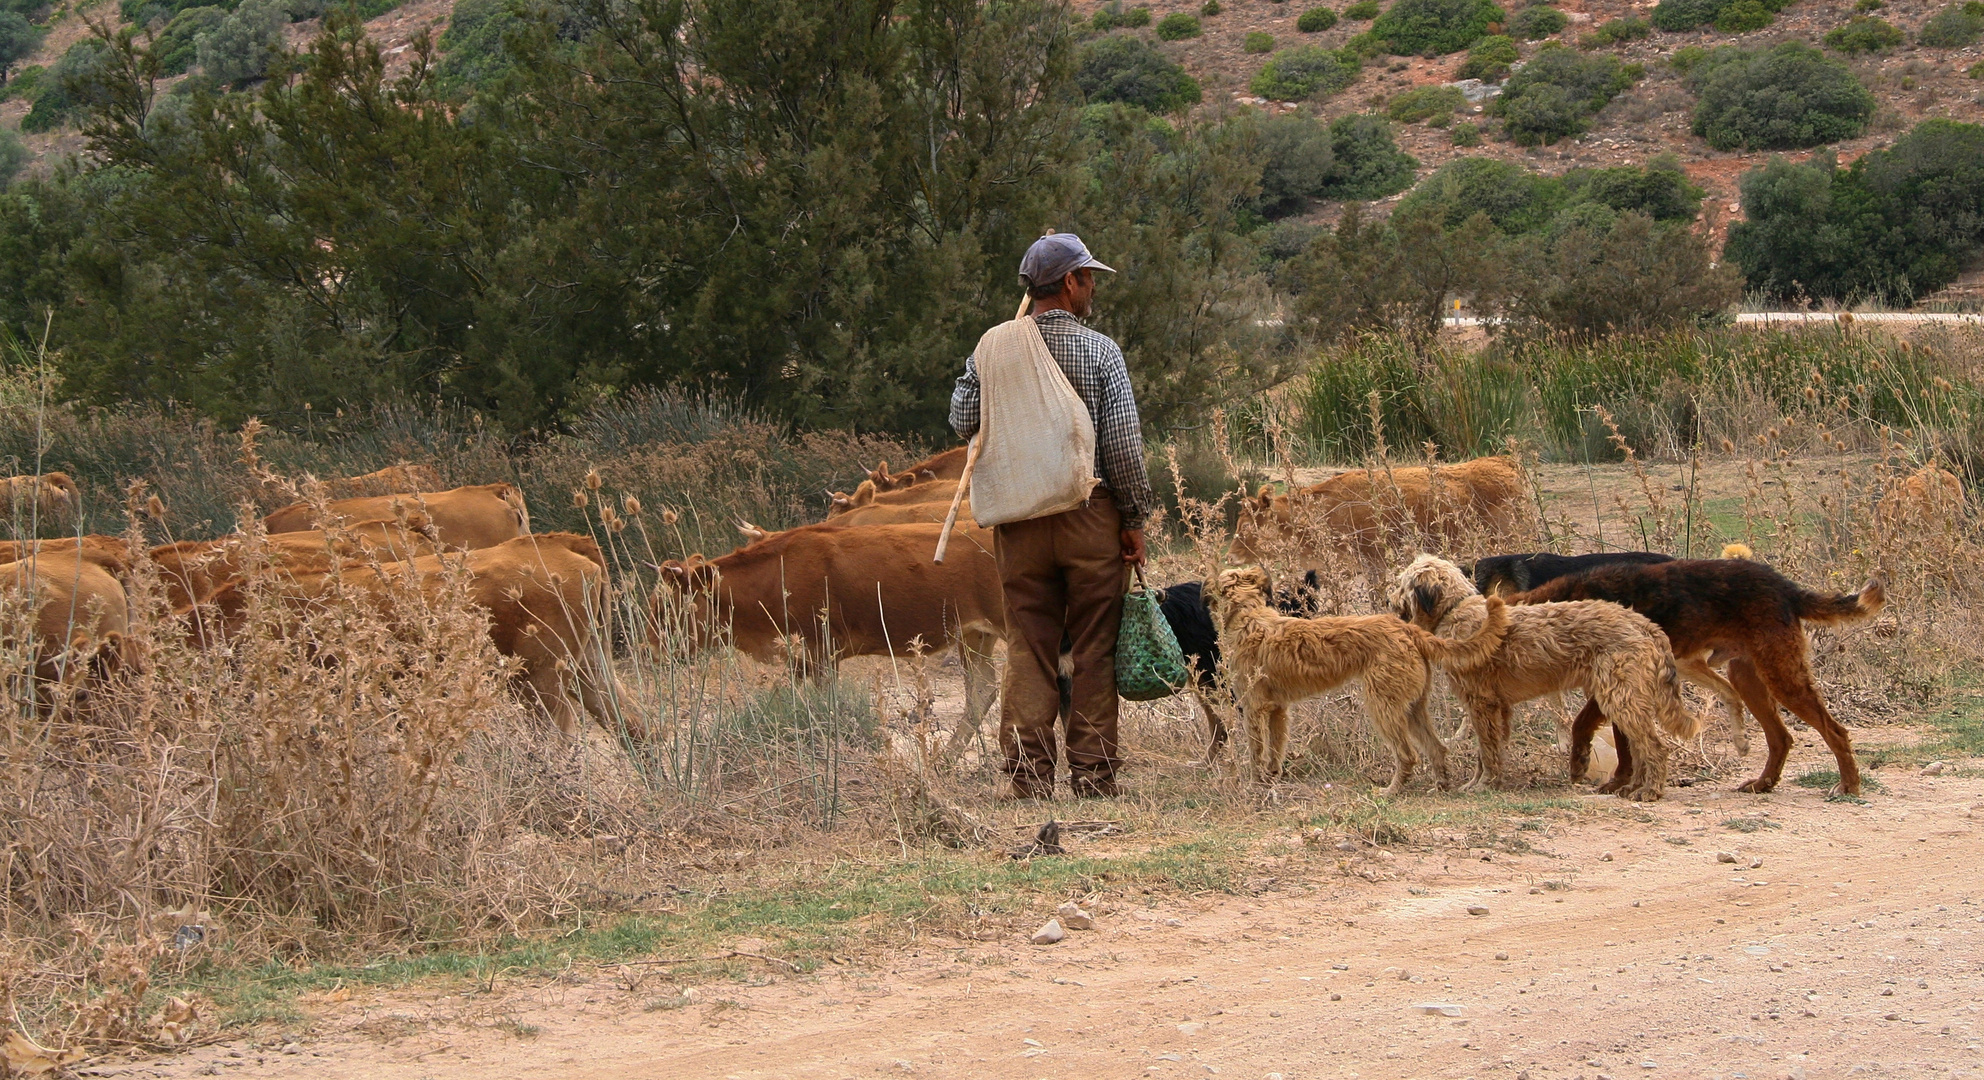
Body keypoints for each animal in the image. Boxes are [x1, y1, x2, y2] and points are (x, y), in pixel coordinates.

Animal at [654, 520, 999, 754]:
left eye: (668, 606)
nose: (651, 649)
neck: (775, 576)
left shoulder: (821, 652)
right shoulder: (799, 658)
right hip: (974, 636)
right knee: (982, 692)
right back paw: (945, 760)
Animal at [1198, 563, 1507, 794]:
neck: (1249, 616)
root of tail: (1407, 630)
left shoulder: (1252, 708)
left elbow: (1255, 753)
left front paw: (1254, 786)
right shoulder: (1278, 710)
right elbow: (1275, 750)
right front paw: (1271, 779)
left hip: (1383, 707)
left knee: (1408, 755)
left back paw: (1391, 791)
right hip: (1412, 708)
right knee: (1438, 748)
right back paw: (1440, 785)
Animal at [1388, 555, 1698, 802]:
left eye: (1403, 584)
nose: (1388, 600)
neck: (1455, 609)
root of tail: (1644, 624)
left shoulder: (1482, 704)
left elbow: (1486, 750)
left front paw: (1483, 785)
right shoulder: (1498, 708)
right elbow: (1487, 752)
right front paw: (1484, 782)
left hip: (1621, 698)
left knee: (1655, 747)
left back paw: (1650, 791)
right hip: (1625, 699)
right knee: (1639, 747)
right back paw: (1633, 787)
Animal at [1515, 559, 1888, 798]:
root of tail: (1786, 587)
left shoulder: (1614, 688)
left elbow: (1586, 726)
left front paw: (1583, 764)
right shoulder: (1619, 690)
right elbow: (1625, 746)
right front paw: (1623, 782)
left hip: (1783, 679)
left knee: (1835, 732)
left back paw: (1849, 785)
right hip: (1749, 680)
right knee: (1781, 738)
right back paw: (1764, 783)